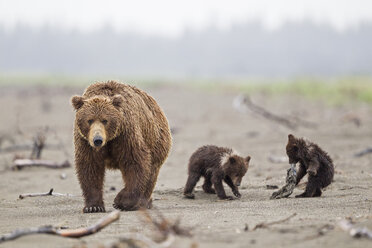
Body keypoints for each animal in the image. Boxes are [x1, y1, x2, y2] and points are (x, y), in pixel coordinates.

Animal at [71, 80, 171, 212]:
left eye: (105, 120)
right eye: (89, 120)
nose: (97, 140)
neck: (109, 140)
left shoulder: (125, 135)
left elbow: (135, 162)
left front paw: (120, 201)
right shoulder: (86, 141)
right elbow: (90, 167)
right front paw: (93, 206)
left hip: (156, 141)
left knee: (151, 173)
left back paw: (143, 202)